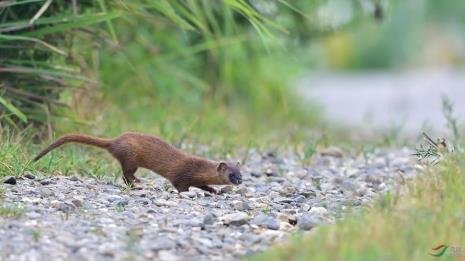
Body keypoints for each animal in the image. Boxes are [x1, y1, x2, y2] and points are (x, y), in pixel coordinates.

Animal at [32, 131, 243, 192]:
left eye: (242, 173)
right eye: (231, 174)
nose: (240, 181)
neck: (200, 168)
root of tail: (115, 141)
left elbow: (203, 186)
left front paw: (213, 191)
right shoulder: (183, 173)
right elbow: (180, 185)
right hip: (131, 157)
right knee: (126, 173)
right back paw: (137, 182)